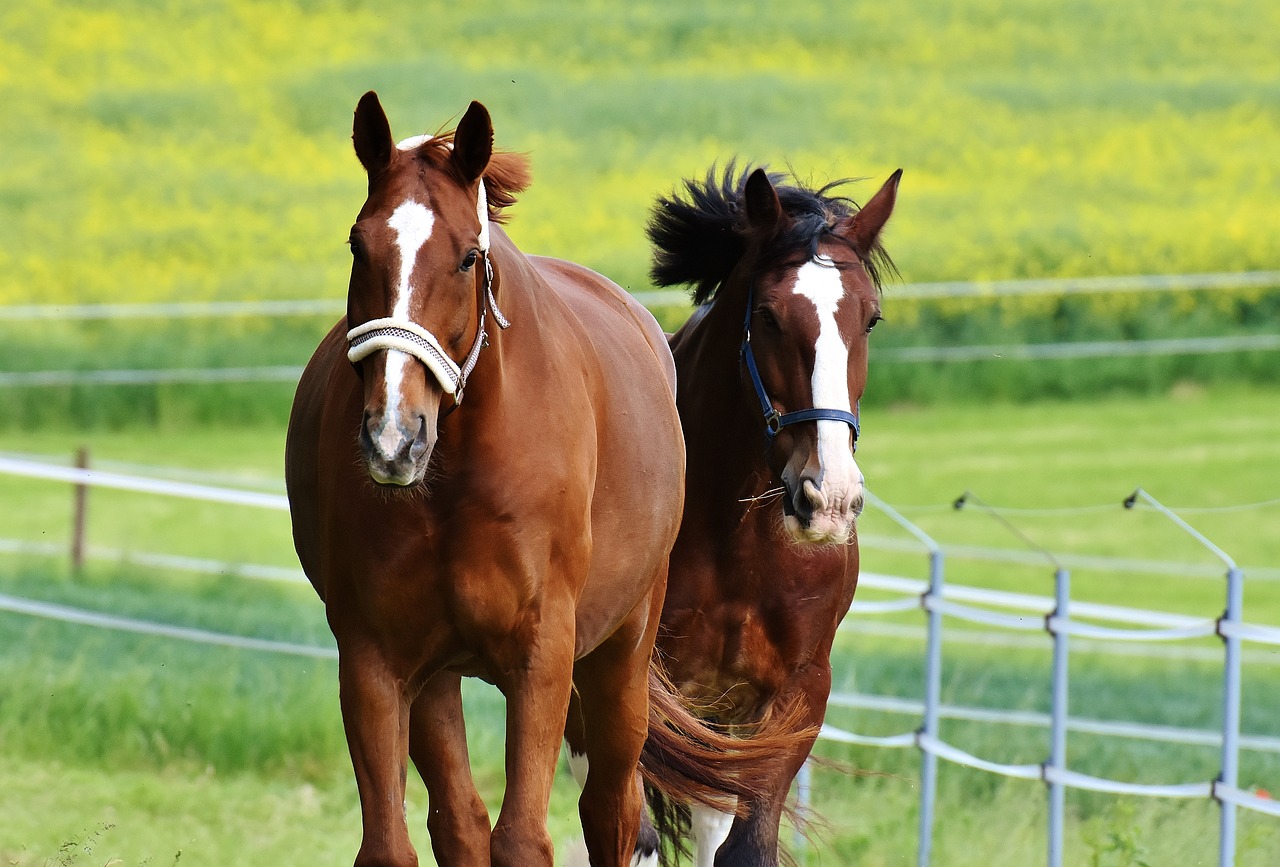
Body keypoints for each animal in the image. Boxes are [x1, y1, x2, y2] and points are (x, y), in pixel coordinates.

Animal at [285, 94, 793, 865]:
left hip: (620, 656)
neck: (456, 481)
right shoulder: (375, 659)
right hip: (439, 681)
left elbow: (523, 837)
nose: (393, 438)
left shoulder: (543, 656)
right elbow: (395, 844)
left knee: (613, 806)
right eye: (357, 246)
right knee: (460, 821)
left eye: (467, 256)